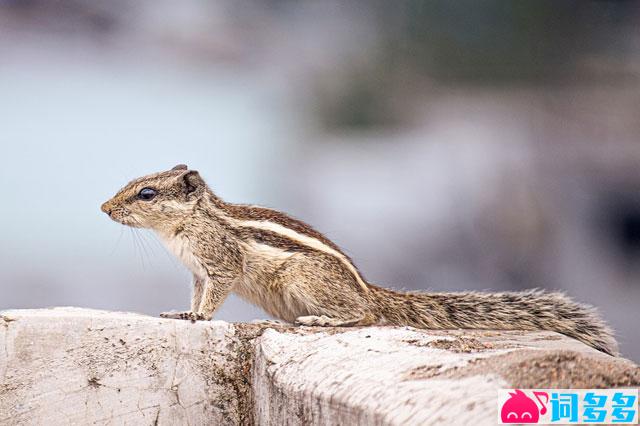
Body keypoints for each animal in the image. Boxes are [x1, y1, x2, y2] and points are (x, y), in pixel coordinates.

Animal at [101, 165, 620, 354]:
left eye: (146, 193)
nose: (104, 208)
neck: (186, 226)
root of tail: (368, 288)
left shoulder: (220, 264)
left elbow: (214, 297)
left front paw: (199, 317)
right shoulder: (196, 271)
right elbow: (193, 294)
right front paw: (181, 312)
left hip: (305, 280)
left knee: (362, 314)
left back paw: (324, 320)